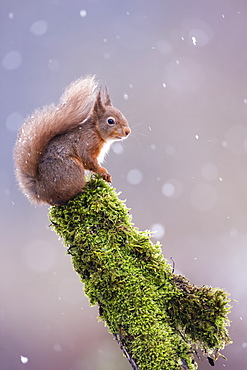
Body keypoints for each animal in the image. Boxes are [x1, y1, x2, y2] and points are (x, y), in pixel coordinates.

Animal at [14, 75, 131, 205]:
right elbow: (88, 160)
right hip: (72, 168)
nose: (128, 131)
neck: (95, 131)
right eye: (110, 121)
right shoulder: (86, 143)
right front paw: (103, 172)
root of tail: (42, 192)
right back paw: (84, 187)